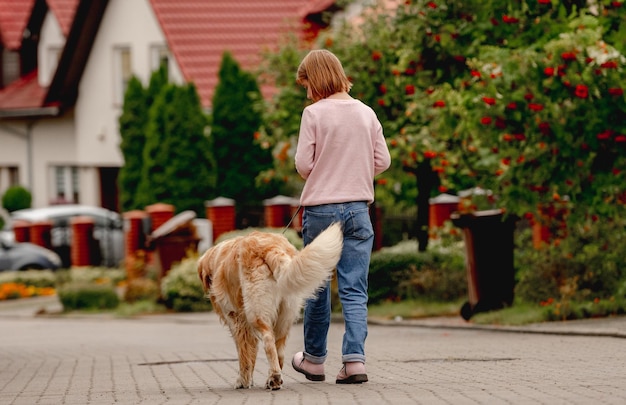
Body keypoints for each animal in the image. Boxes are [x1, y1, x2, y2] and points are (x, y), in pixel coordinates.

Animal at [197, 223, 342, 390]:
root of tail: (269, 247)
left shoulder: (235, 320)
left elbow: (243, 353)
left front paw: (242, 381)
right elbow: (251, 351)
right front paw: (249, 380)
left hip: (256, 313)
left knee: (268, 340)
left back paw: (274, 377)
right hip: (285, 315)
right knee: (279, 349)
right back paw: (273, 378)